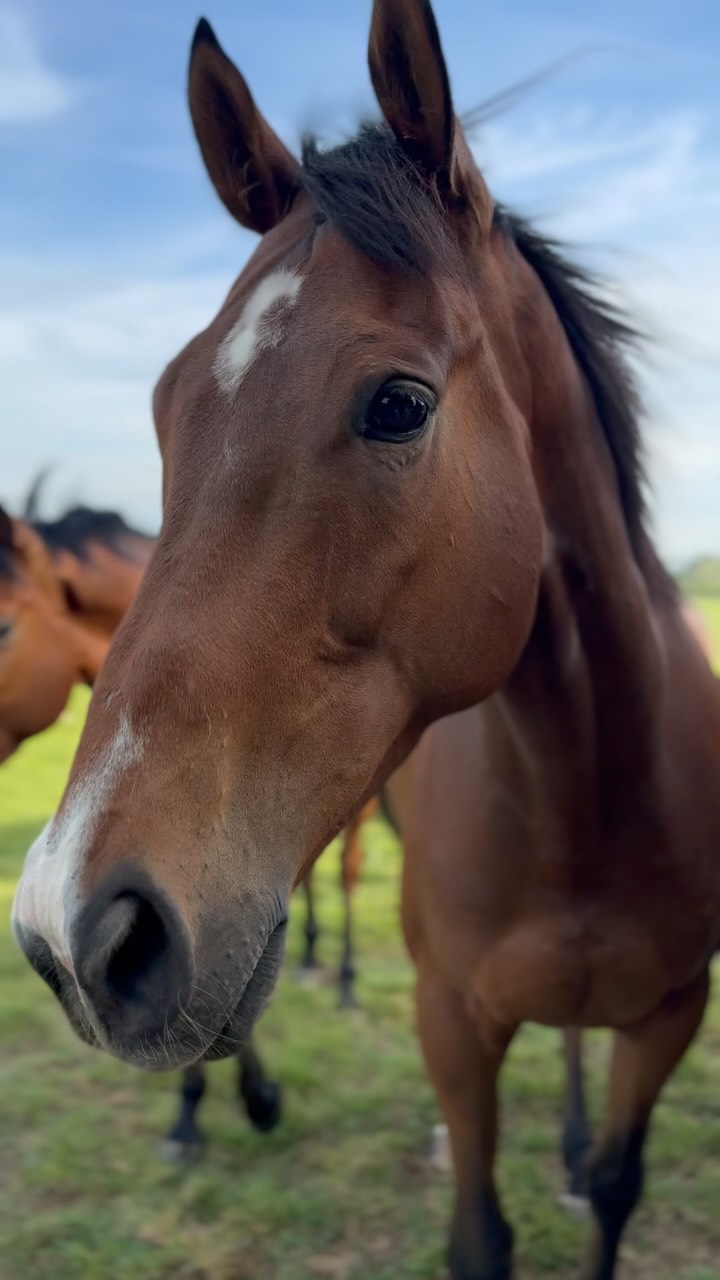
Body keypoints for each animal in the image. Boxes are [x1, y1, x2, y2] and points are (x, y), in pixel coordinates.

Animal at [12, 3, 720, 1276]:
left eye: (399, 404)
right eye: (164, 408)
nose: (68, 924)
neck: (591, 798)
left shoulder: (672, 1016)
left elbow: (616, 1183)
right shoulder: (450, 1018)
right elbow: (479, 1231)